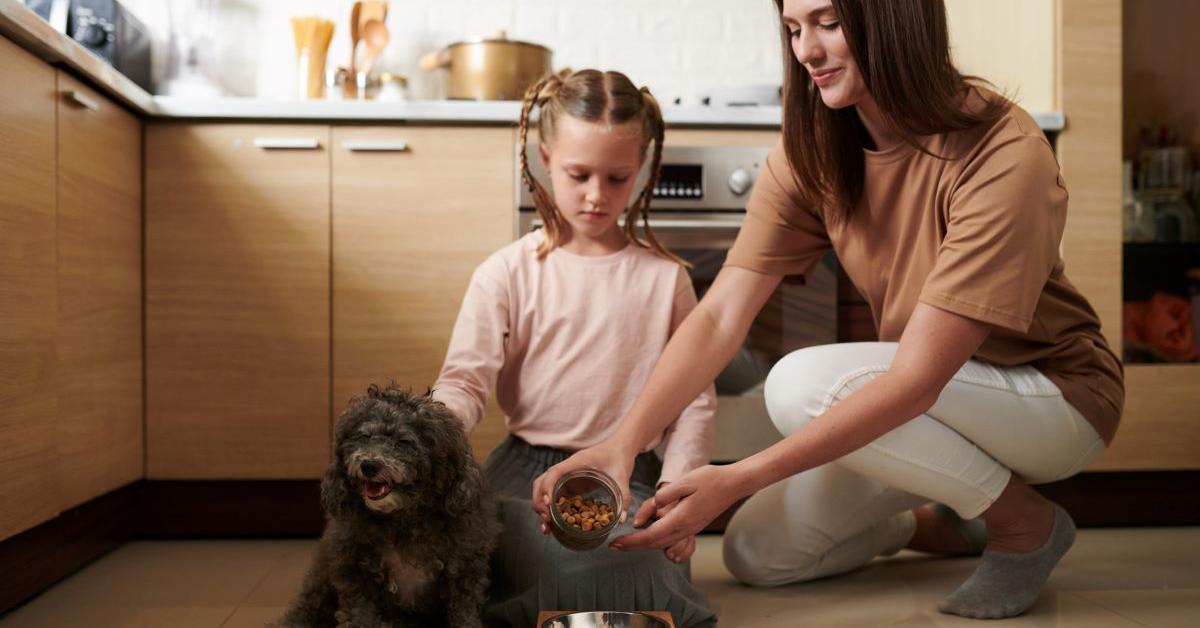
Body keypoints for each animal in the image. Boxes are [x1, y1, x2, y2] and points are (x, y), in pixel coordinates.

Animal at [278, 386, 499, 624]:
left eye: (403, 442)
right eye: (364, 436)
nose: (369, 465)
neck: (402, 522)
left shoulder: (463, 573)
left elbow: (464, 614)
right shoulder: (356, 575)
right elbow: (361, 617)